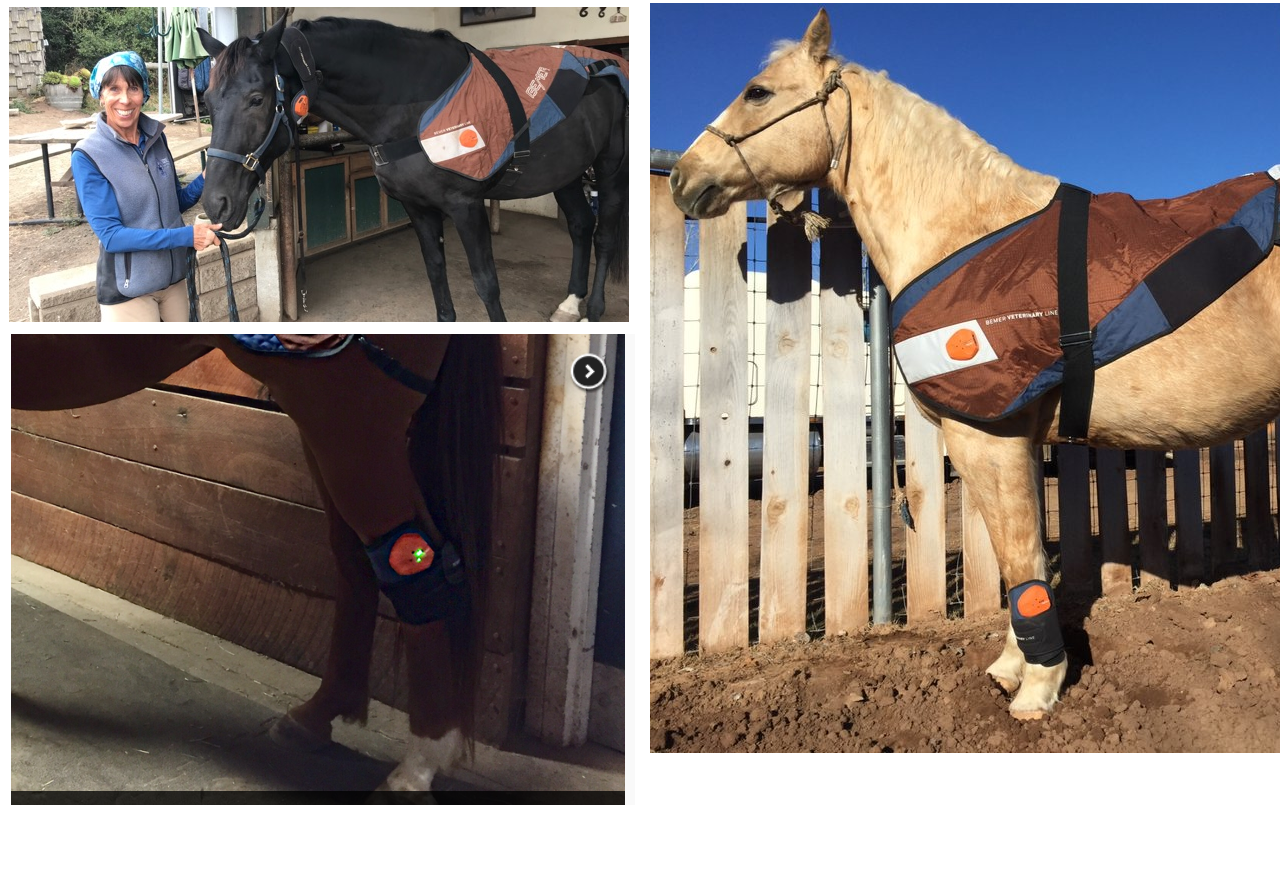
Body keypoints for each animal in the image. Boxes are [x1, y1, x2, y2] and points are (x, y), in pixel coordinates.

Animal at [197, 16, 629, 322]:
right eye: (208, 99)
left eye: (257, 99)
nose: (216, 204)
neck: (415, 104)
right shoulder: (418, 208)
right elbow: (437, 277)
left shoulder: (466, 206)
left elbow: (486, 284)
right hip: (566, 173)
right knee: (580, 226)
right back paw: (571, 304)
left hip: (610, 169)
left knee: (604, 235)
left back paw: (594, 311)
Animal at [670, 9, 1280, 720]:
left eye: (758, 92)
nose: (683, 177)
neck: (967, 231)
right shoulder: (1003, 443)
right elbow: (1018, 555)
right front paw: (1013, 668)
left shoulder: (988, 438)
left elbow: (1022, 561)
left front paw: (1039, 688)